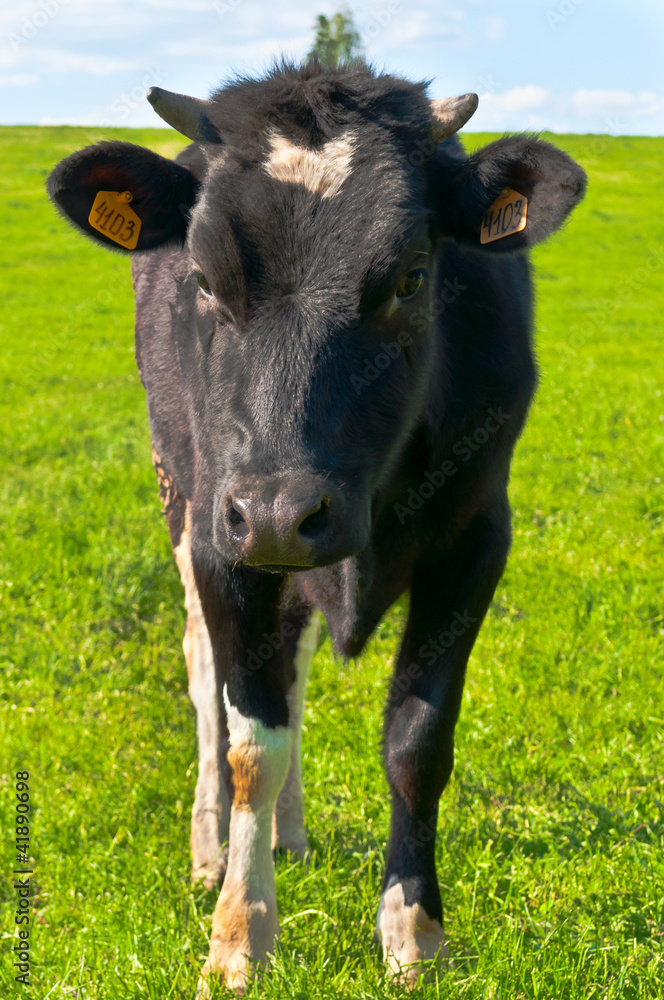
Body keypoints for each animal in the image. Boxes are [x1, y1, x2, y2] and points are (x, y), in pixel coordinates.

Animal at [47, 58, 586, 994]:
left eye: (410, 277)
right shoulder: (221, 535)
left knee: (291, 665)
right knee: (208, 672)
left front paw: (414, 934)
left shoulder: (477, 537)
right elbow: (249, 744)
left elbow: (416, 742)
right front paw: (238, 937)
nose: (277, 510)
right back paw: (211, 847)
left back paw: (291, 836)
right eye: (203, 279)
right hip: (185, 497)